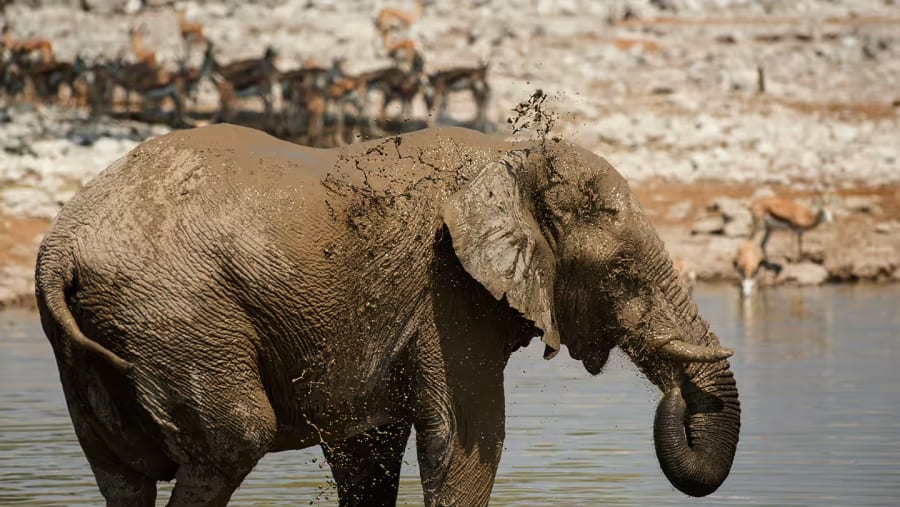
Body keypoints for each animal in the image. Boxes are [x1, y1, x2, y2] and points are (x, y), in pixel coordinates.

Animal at [35, 124, 740, 506]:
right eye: (621, 275)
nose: (673, 398)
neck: (510, 155)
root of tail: (60, 247)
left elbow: (366, 451)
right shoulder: (447, 293)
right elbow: (468, 441)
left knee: (122, 478)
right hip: (177, 316)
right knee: (233, 440)